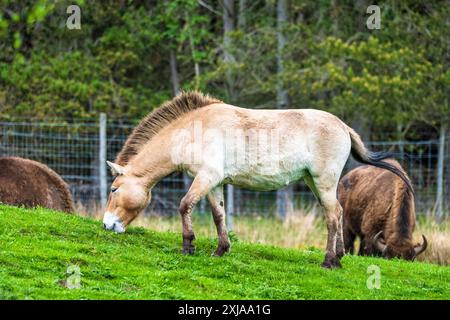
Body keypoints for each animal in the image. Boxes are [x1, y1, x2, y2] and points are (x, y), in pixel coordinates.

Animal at [103, 90, 412, 268]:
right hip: (313, 182)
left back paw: (329, 261)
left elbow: (185, 205)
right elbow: (218, 215)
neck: (193, 129)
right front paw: (220, 250)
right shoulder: (215, 183)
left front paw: (188, 246)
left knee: (333, 216)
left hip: (323, 181)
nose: (107, 225)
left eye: (114, 189)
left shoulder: (206, 177)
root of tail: (343, 126)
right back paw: (339, 256)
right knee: (337, 211)